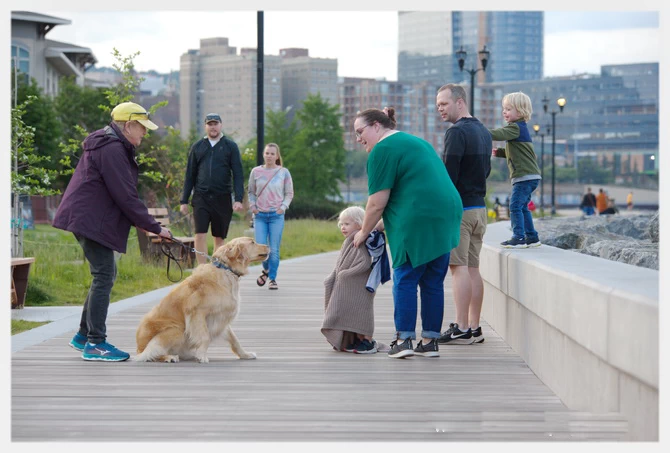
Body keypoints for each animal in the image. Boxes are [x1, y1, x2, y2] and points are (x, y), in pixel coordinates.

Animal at [134, 235, 270, 362]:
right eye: (252, 242)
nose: (269, 246)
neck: (226, 270)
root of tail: (139, 348)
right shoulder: (197, 313)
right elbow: (205, 336)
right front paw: (202, 356)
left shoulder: (221, 316)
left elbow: (234, 339)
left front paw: (245, 354)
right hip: (176, 330)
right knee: (148, 355)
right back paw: (169, 357)